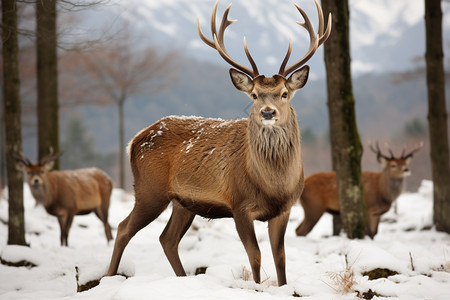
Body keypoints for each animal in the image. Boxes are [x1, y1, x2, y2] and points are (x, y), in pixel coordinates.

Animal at [105, 0, 330, 286]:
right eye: (254, 94)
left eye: (284, 93)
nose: (268, 112)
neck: (273, 185)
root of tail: (135, 140)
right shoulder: (239, 205)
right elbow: (255, 255)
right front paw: (256, 287)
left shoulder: (285, 208)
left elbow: (280, 257)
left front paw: (283, 287)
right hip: (149, 189)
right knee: (124, 228)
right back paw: (108, 277)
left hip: (183, 202)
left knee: (167, 238)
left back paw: (182, 279)